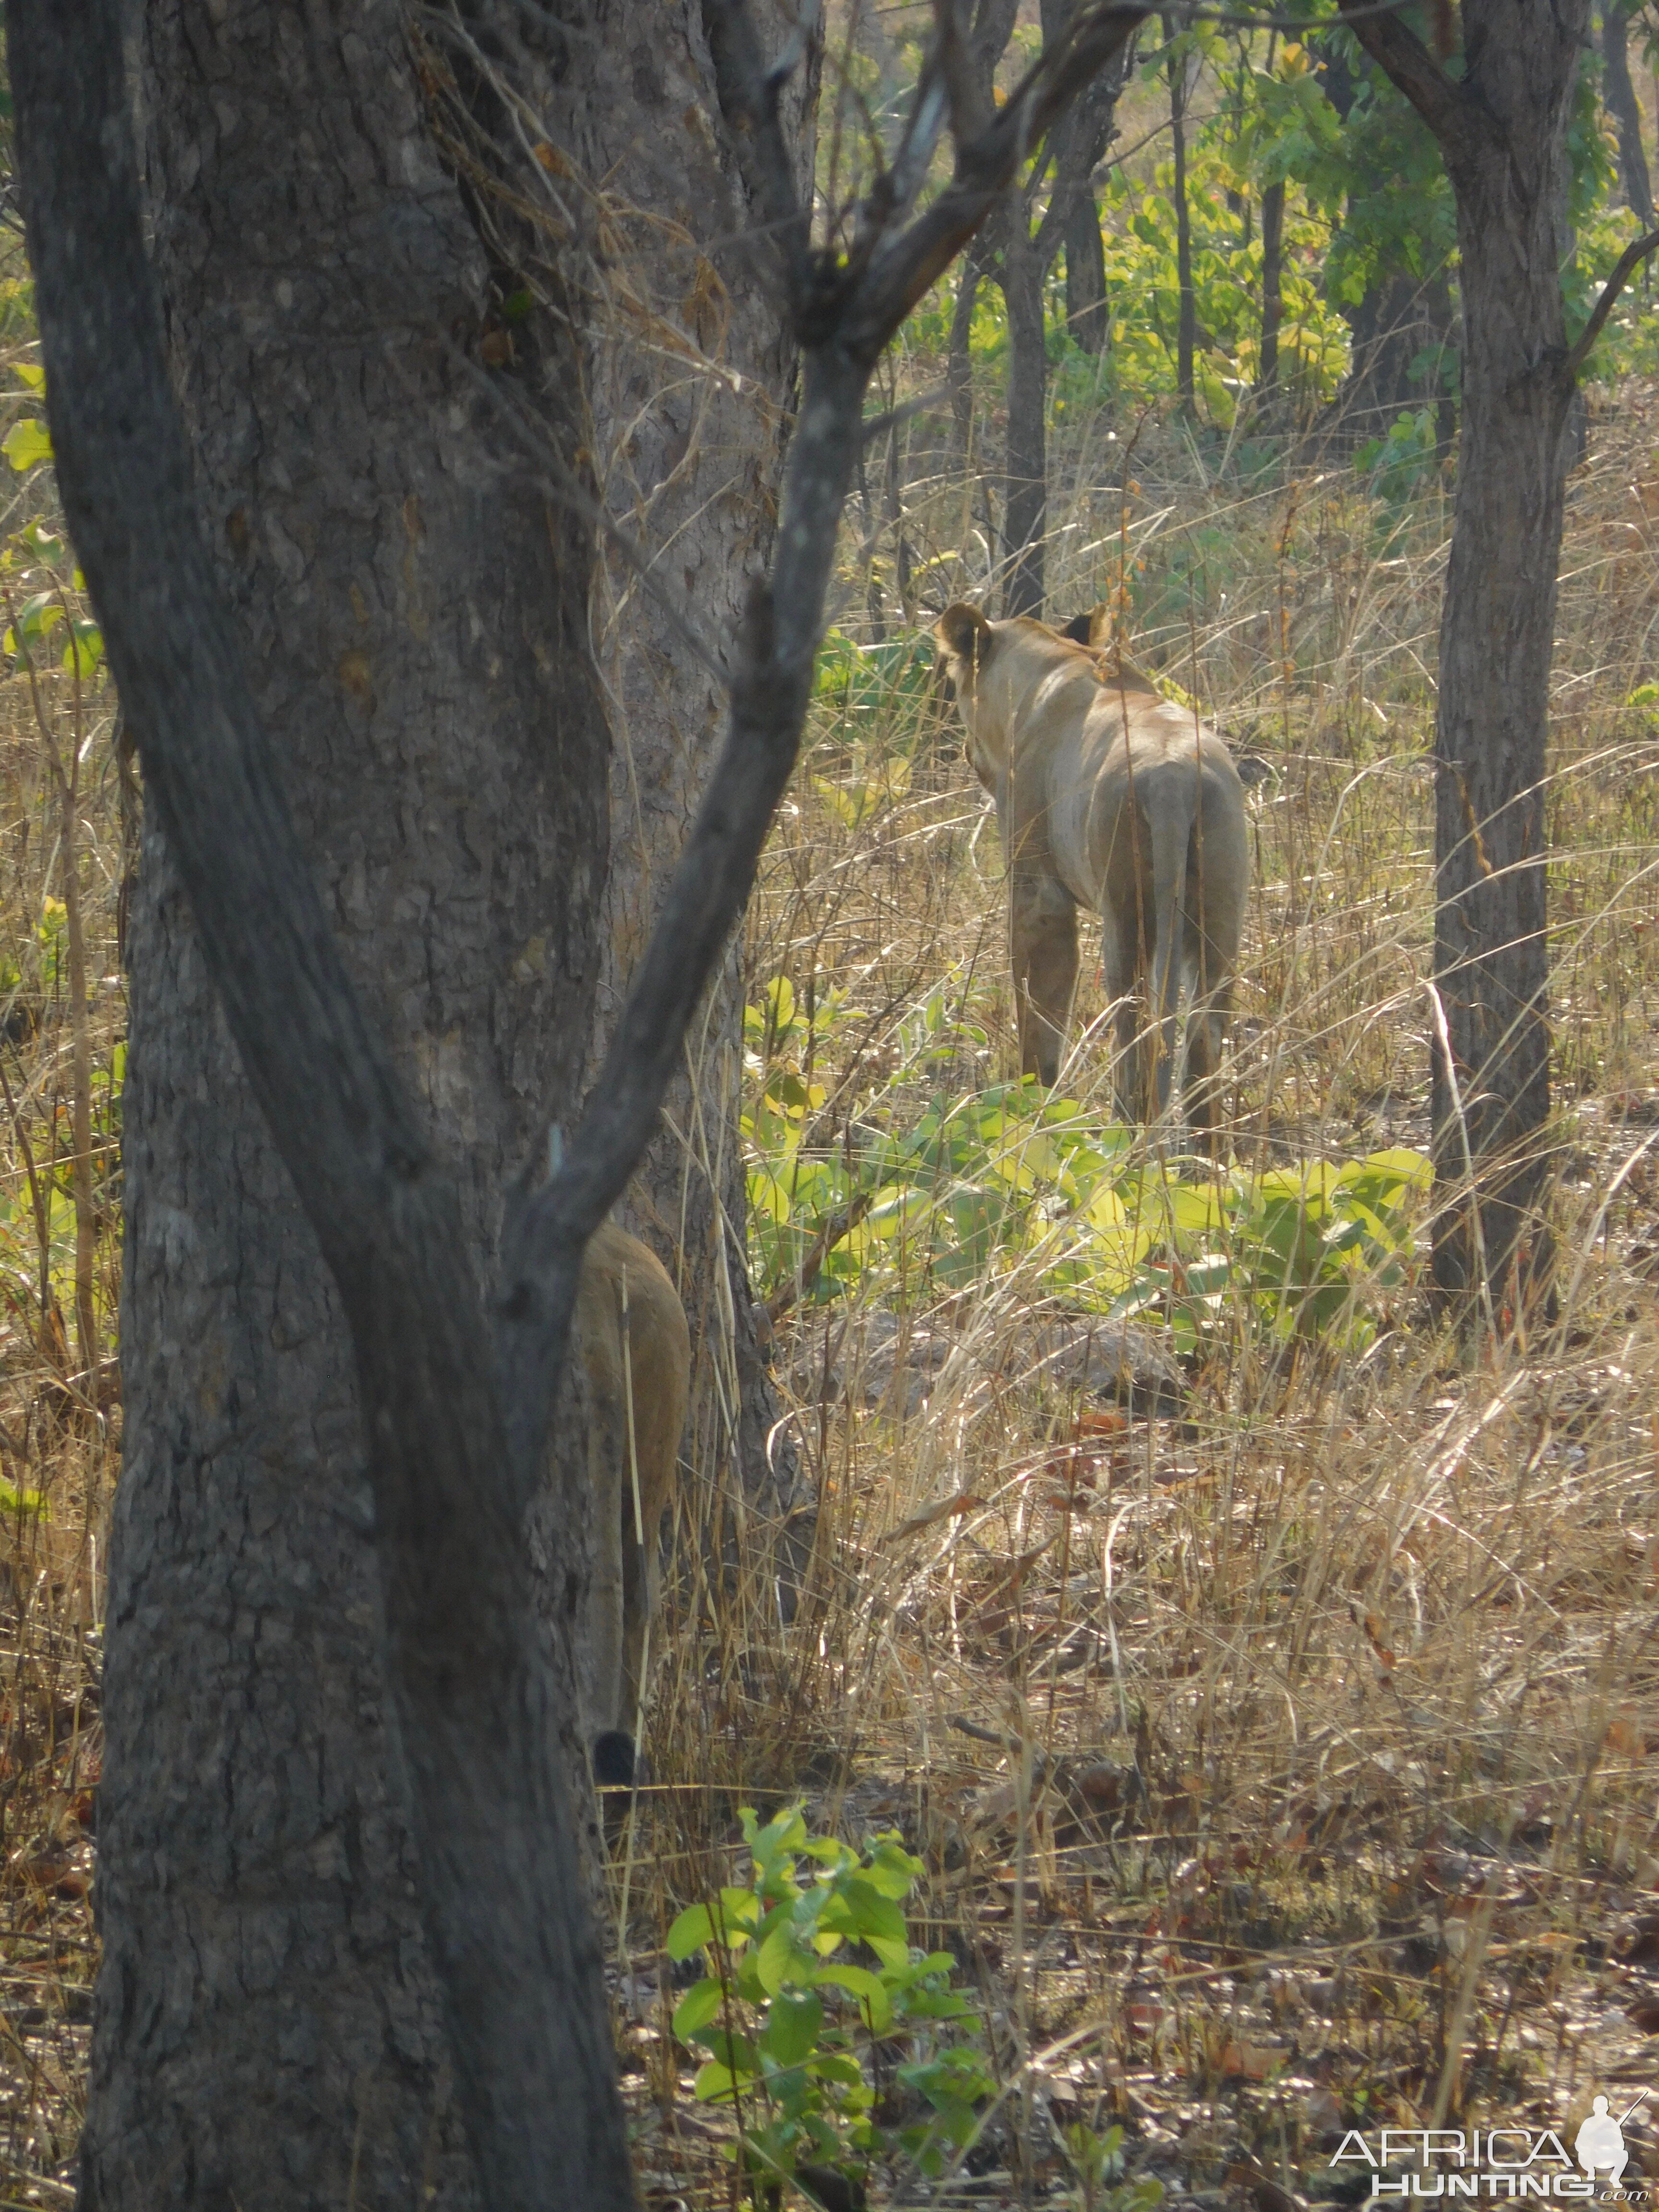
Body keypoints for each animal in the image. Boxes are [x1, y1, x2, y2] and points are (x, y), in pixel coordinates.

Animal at [938, 606, 1247, 1159]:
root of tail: (1173, 781)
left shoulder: (1039, 895)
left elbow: (1039, 1008)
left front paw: (1029, 1103)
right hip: (1219, 922)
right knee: (1203, 1040)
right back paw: (1207, 1161)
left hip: (1127, 920)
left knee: (1137, 1035)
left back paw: (1122, 1141)